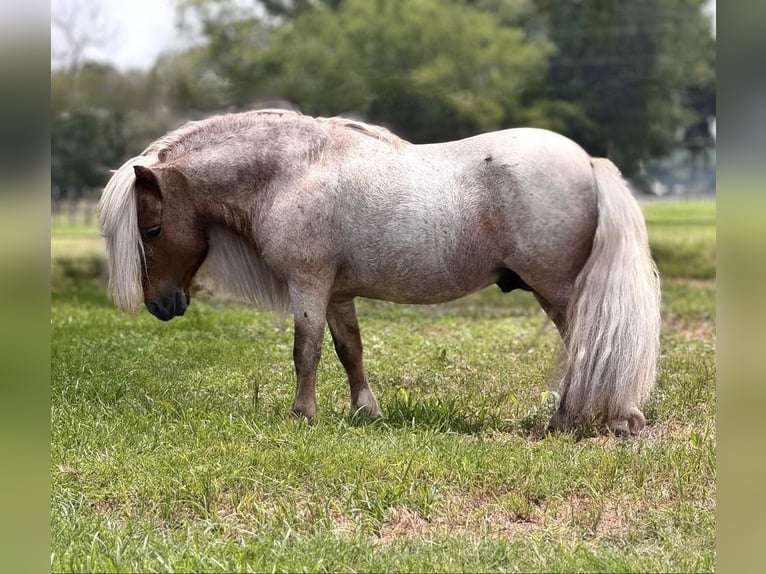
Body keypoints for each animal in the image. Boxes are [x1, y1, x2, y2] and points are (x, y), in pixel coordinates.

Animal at [97, 109, 660, 436]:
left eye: (151, 229)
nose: (161, 306)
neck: (292, 170)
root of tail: (588, 162)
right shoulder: (337, 293)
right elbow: (349, 350)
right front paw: (365, 410)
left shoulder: (308, 284)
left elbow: (305, 350)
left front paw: (302, 415)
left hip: (557, 291)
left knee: (587, 346)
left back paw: (575, 420)